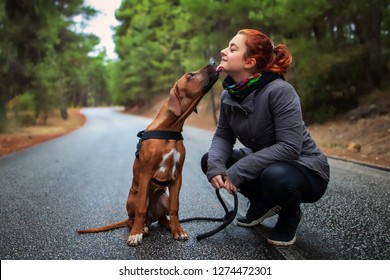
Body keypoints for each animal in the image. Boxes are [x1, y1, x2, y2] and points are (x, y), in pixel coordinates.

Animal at [78, 64, 219, 246]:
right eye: (190, 75)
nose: (214, 64)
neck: (169, 130)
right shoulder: (145, 174)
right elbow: (140, 210)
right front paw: (135, 234)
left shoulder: (178, 177)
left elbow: (175, 208)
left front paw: (178, 230)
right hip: (135, 197)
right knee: (134, 218)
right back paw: (141, 228)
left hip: (164, 197)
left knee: (162, 218)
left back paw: (168, 225)